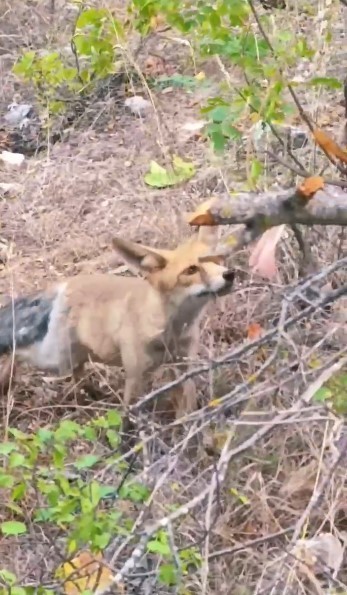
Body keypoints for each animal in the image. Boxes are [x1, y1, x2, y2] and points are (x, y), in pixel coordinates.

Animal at [0, 228, 235, 414]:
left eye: (218, 260)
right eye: (191, 270)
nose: (230, 274)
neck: (171, 332)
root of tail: (63, 283)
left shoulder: (184, 367)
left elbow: (186, 411)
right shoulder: (135, 375)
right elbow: (128, 418)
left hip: (73, 356)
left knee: (78, 375)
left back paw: (89, 395)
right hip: (55, 359)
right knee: (16, 353)